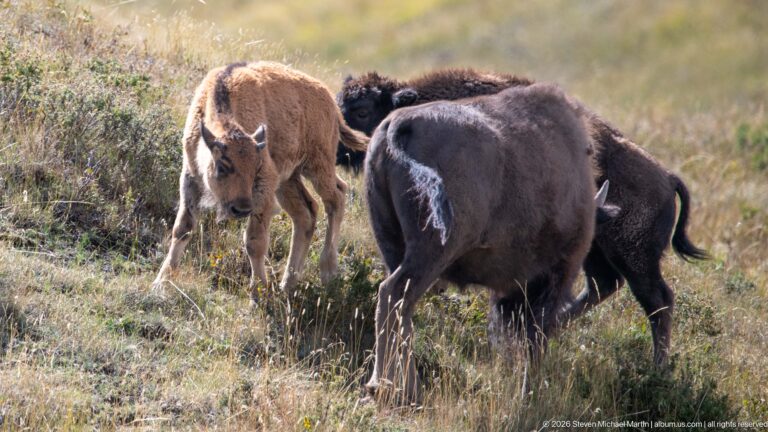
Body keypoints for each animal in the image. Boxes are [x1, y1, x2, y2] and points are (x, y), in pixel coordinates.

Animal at [152, 62, 368, 301]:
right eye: (222, 166)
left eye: (256, 168)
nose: (241, 209)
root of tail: (330, 101)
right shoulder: (190, 178)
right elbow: (182, 228)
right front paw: (161, 282)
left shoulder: (264, 186)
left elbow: (254, 241)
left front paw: (258, 295)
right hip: (288, 180)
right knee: (306, 213)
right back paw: (287, 284)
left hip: (317, 166)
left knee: (336, 197)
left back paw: (327, 272)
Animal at [338, 68, 708, 365]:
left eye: (361, 110)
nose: (340, 145)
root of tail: (667, 178)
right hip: (600, 254)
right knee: (603, 287)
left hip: (634, 259)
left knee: (657, 302)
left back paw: (658, 370)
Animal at [365, 83, 599, 403]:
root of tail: (396, 126)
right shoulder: (556, 272)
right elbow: (536, 337)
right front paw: (529, 393)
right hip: (433, 250)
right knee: (395, 295)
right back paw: (392, 388)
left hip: (394, 244)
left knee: (398, 305)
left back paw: (399, 388)